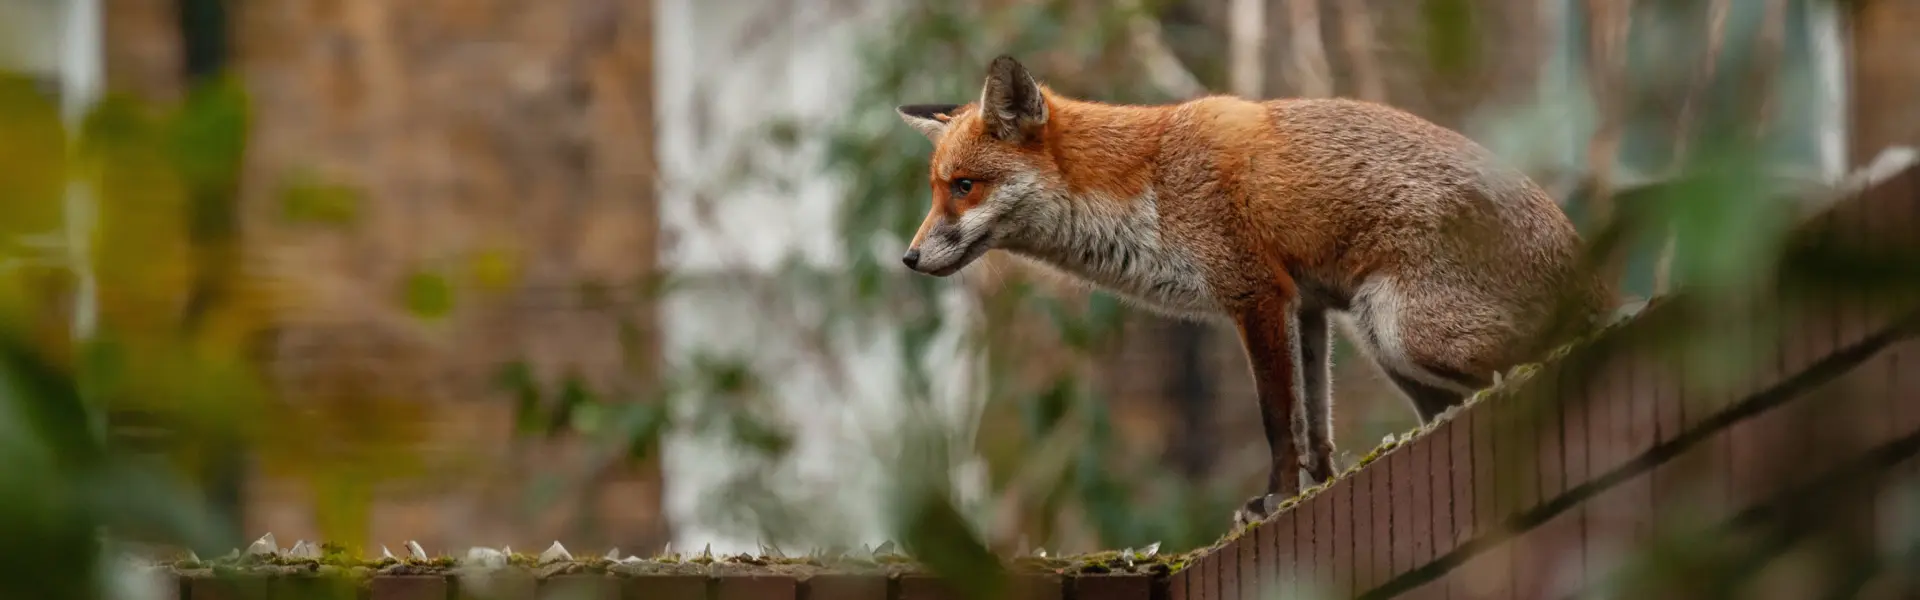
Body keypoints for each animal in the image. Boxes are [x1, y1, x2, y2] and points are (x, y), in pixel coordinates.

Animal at [894, 55, 1614, 527]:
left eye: (963, 187)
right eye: (934, 190)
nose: (909, 257)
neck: (1149, 184)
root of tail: (1594, 272)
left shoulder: (1256, 293)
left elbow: (1276, 420)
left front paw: (1275, 500)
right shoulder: (1310, 305)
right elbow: (1313, 422)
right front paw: (1318, 489)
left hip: (1398, 328)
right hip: (1383, 342)